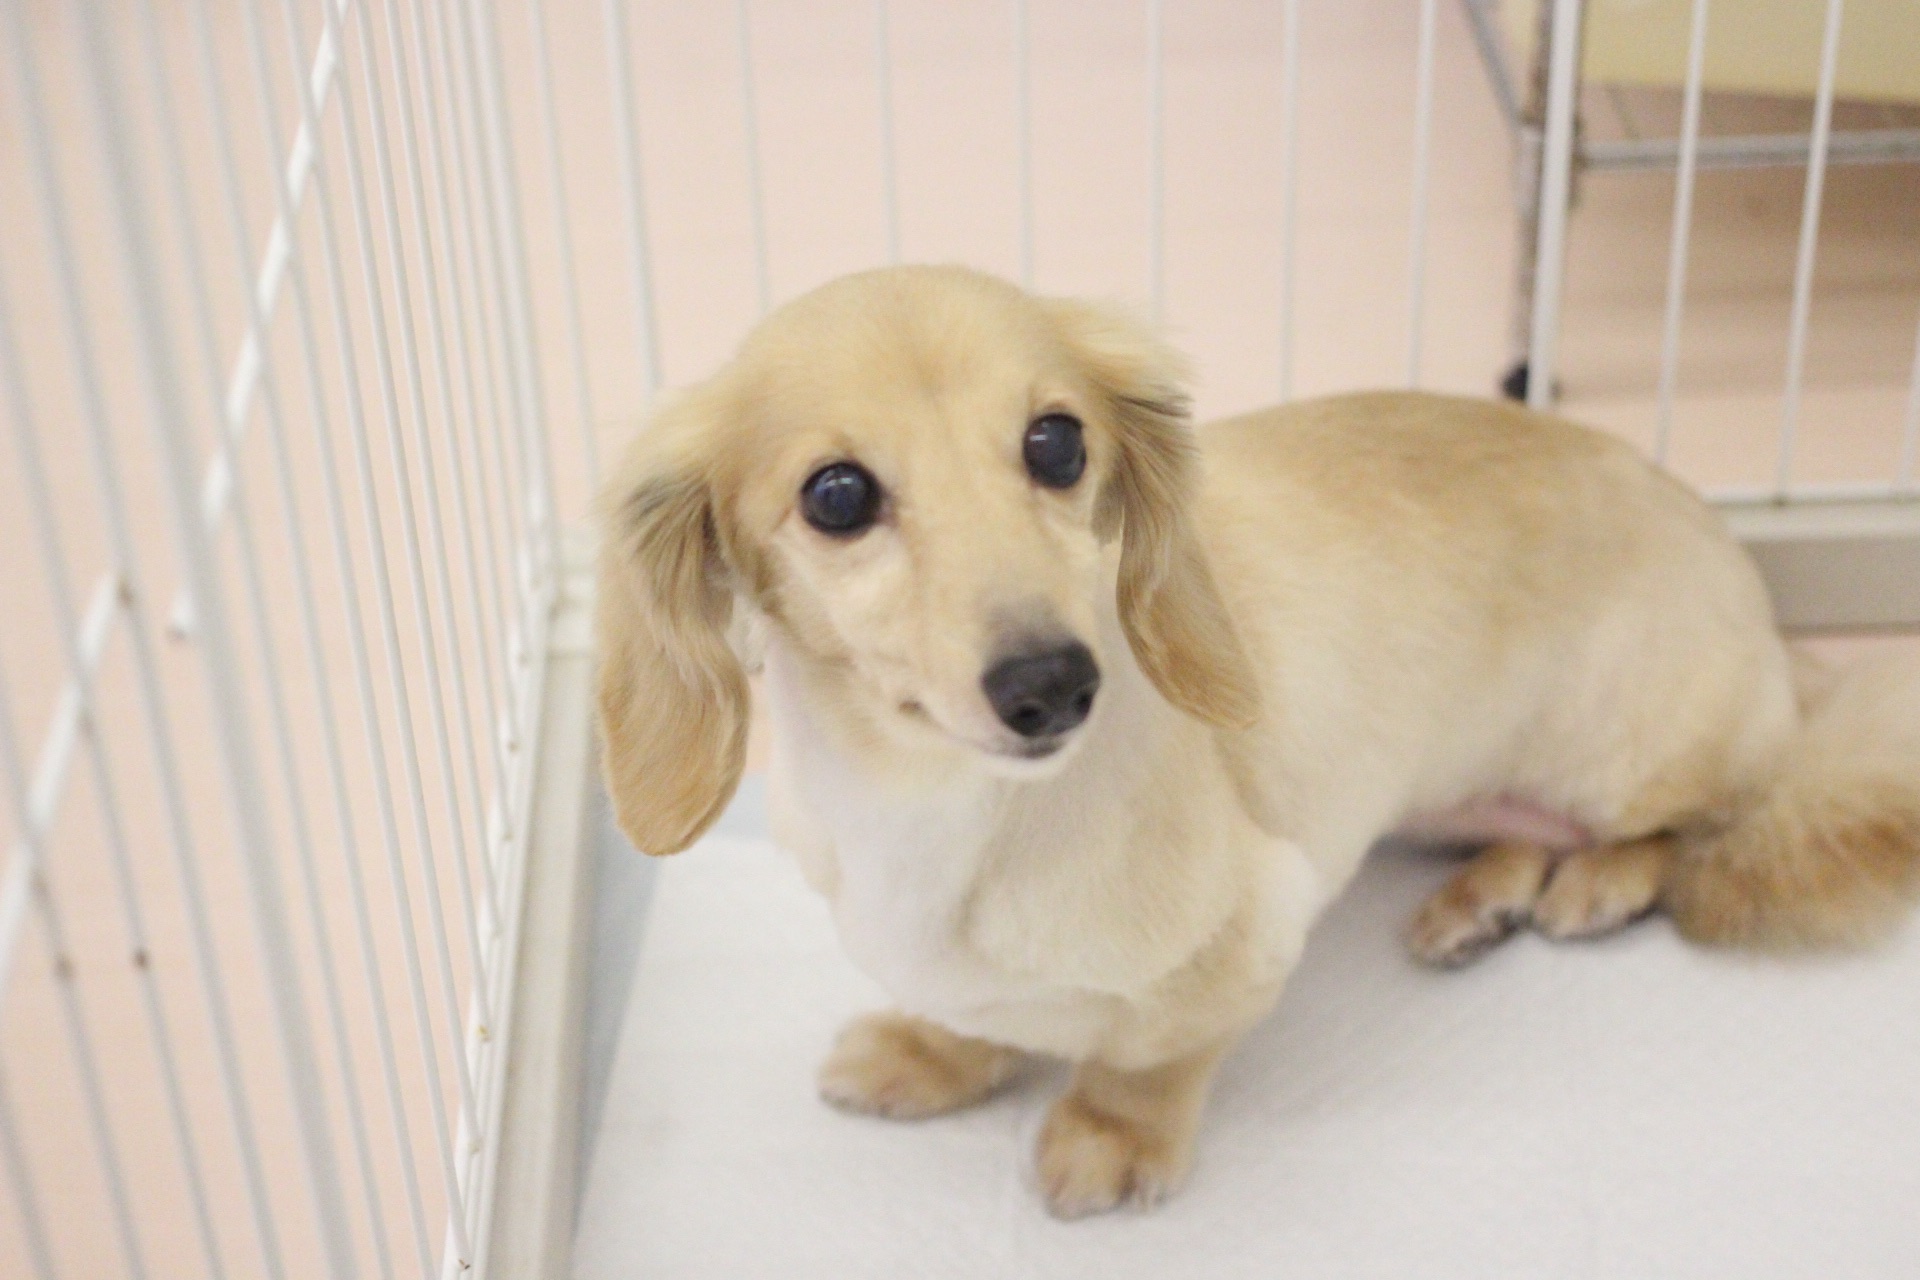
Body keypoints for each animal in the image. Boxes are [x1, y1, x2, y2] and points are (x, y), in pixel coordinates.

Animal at [595, 265, 1920, 1218]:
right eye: (836, 495)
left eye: (1056, 442)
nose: (1053, 685)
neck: (933, 808)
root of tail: (1759, 600)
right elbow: (971, 1008)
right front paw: (930, 1049)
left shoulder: (1246, 934)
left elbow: (1145, 1057)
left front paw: (1108, 1134)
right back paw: (1480, 901)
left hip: (1633, 751)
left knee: (1696, 823)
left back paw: (1594, 881)